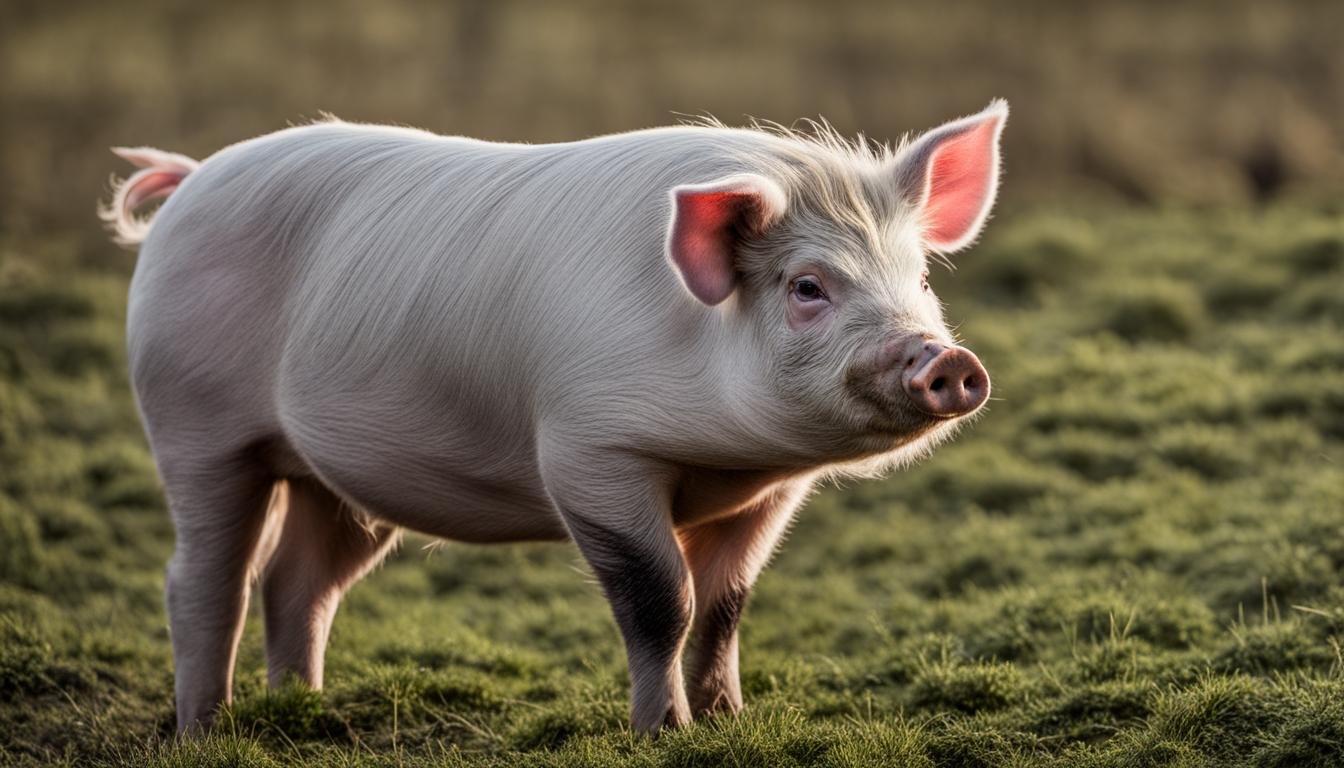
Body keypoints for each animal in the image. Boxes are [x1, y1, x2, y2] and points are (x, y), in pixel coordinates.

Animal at [100, 101, 1006, 733]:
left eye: (921, 278)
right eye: (809, 286)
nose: (945, 360)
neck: (723, 450)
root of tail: (190, 179)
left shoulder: (769, 489)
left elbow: (727, 604)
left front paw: (730, 721)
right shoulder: (589, 452)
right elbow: (663, 600)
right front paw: (666, 733)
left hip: (335, 473)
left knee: (299, 580)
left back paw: (306, 713)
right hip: (192, 422)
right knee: (205, 578)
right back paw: (206, 728)